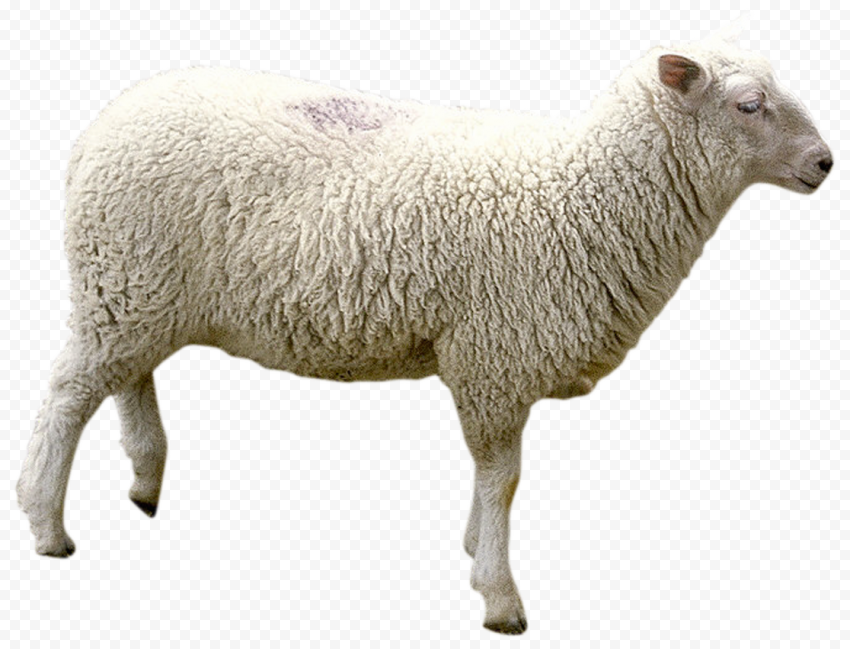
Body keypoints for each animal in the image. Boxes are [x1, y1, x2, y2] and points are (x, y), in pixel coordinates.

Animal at [17, 37, 831, 634]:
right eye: (749, 104)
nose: (825, 162)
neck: (582, 195)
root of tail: (95, 132)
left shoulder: (489, 363)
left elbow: (492, 481)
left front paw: (474, 549)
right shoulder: (493, 357)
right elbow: (504, 480)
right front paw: (499, 594)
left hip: (142, 291)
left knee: (128, 376)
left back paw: (145, 479)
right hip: (123, 279)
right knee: (66, 398)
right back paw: (46, 522)